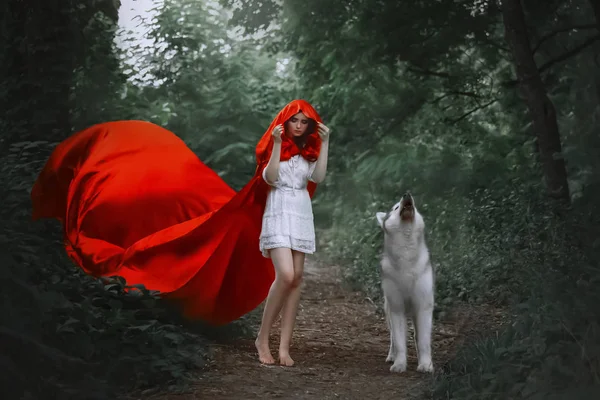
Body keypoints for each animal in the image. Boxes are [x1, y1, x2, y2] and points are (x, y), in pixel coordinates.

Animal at [378, 192, 434, 374]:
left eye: (414, 204)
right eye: (396, 207)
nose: (407, 194)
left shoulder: (423, 306)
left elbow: (423, 341)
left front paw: (426, 365)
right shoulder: (397, 308)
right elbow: (400, 343)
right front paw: (399, 364)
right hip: (389, 310)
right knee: (393, 339)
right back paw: (392, 356)